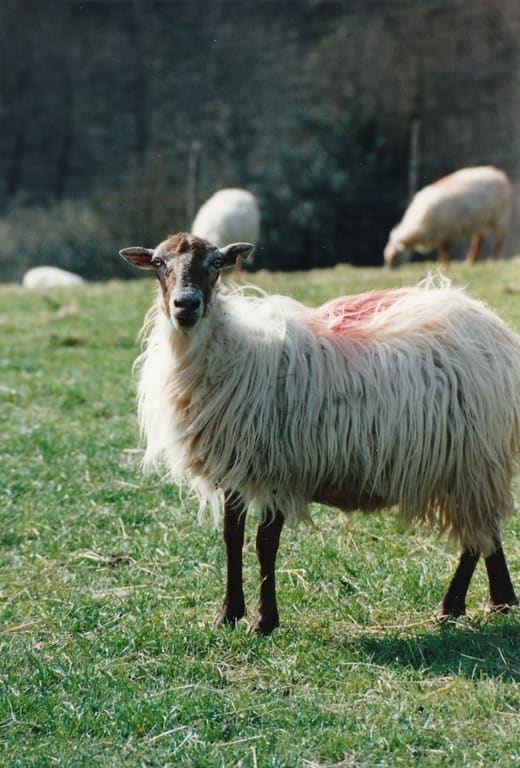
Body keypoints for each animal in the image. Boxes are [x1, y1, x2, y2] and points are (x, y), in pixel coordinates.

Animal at [120, 232, 520, 634]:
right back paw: (500, 600)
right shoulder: (234, 464)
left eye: (216, 263)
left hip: (472, 460)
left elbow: (265, 543)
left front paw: (264, 620)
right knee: (487, 531)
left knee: (476, 536)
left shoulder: (278, 468)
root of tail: (493, 325)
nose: (186, 305)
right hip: (475, 463)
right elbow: (232, 536)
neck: (233, 350)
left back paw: (451, 605)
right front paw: (229, 613)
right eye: (159, 263)